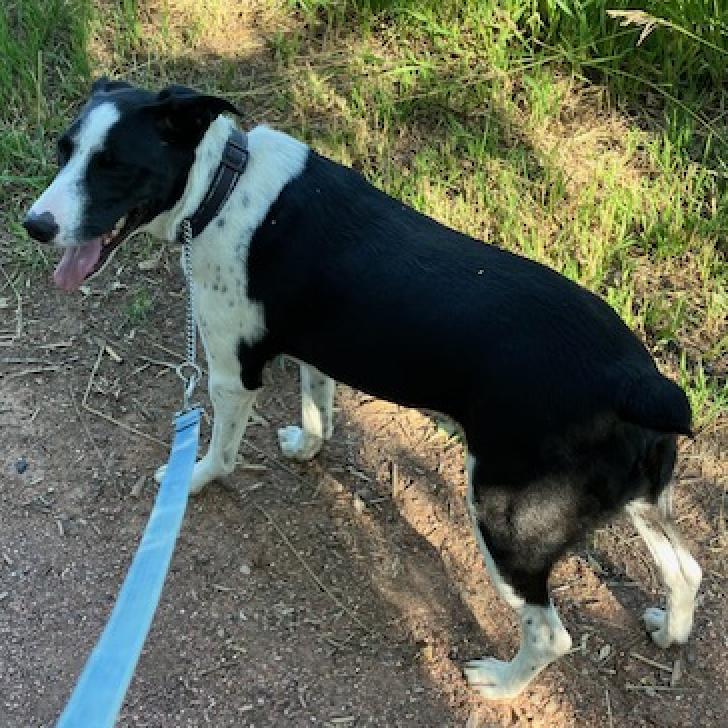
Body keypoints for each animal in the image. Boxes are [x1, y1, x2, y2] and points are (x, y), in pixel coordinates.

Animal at [25, 79, 704, 700]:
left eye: (113, 165)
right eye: (64, 150)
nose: (35, 225)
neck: (224, 183)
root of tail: (638, 379)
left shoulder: (230, 373)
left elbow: (219, 450)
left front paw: (192, 479)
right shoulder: (315, 355)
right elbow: (319, 413)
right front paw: (305, 448)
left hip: (506, 520)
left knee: (552, 635)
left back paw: (500, 684)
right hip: (639, 499)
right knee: (687, 569)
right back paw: (669, 631)